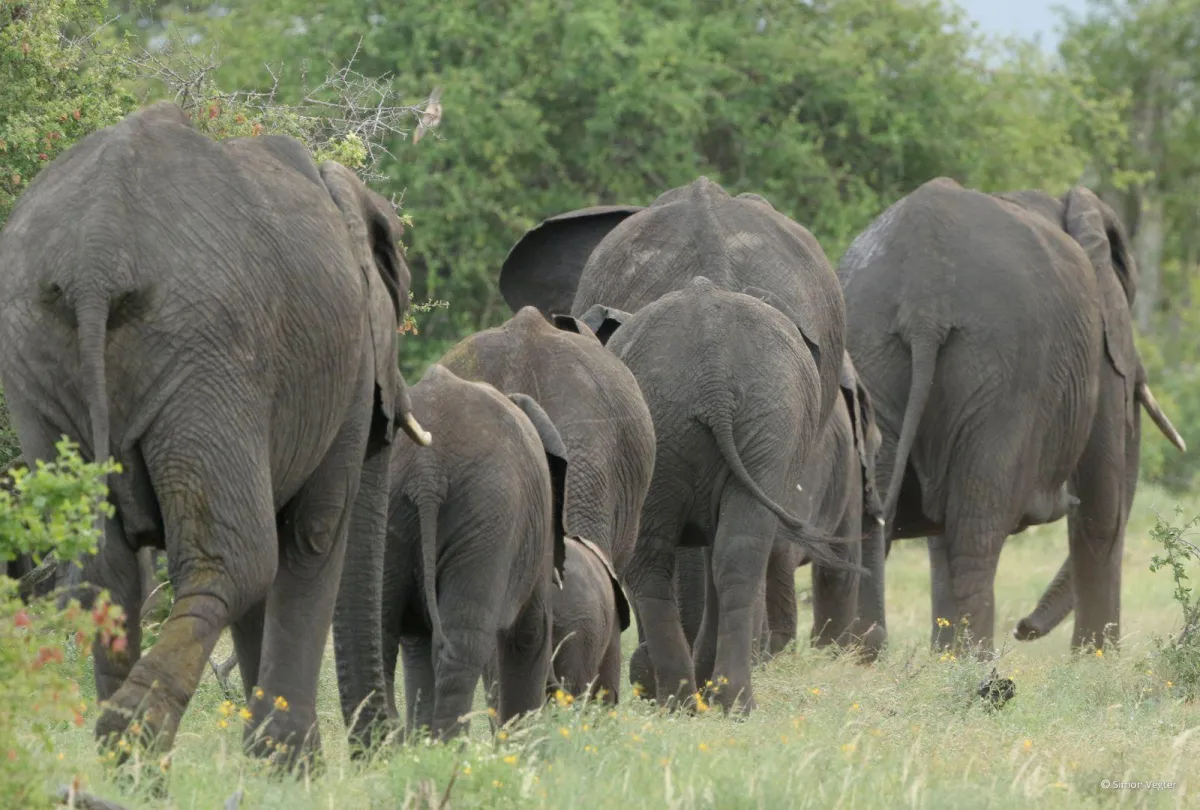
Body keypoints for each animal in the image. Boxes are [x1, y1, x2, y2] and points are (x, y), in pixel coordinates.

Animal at [0, 102, 431, 765]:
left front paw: (270, 757)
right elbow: (311, 536)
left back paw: (122, 757)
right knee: (237, 559)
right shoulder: (351, 361)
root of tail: (96, 255)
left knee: (107, 572)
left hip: (39, 354)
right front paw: (288, 764)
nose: (387, 749)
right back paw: (135, 737)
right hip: (209, 353)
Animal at [378, 365, 561, 740]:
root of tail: (427, 471)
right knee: (465, 644)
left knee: (386, 635)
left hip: (396, 508)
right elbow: (531, 633)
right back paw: (450, 747)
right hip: (490, 511)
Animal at [577, 277, 854, 714]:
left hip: (702, 422)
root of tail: (714, 376)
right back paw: (726, 701)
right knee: (736, 554)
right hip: (761, 419)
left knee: (662, 559)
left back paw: (688, 700)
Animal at [836, 177, 1185, 653]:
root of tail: (923, 304)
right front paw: (1095, 662)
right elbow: (1101, 508)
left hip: (873, 349)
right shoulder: (1098, 344)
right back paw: (973, 667)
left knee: (891, 526)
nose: (1023, 629)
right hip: (1001, 372)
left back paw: (867, 656)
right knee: (976, 534)